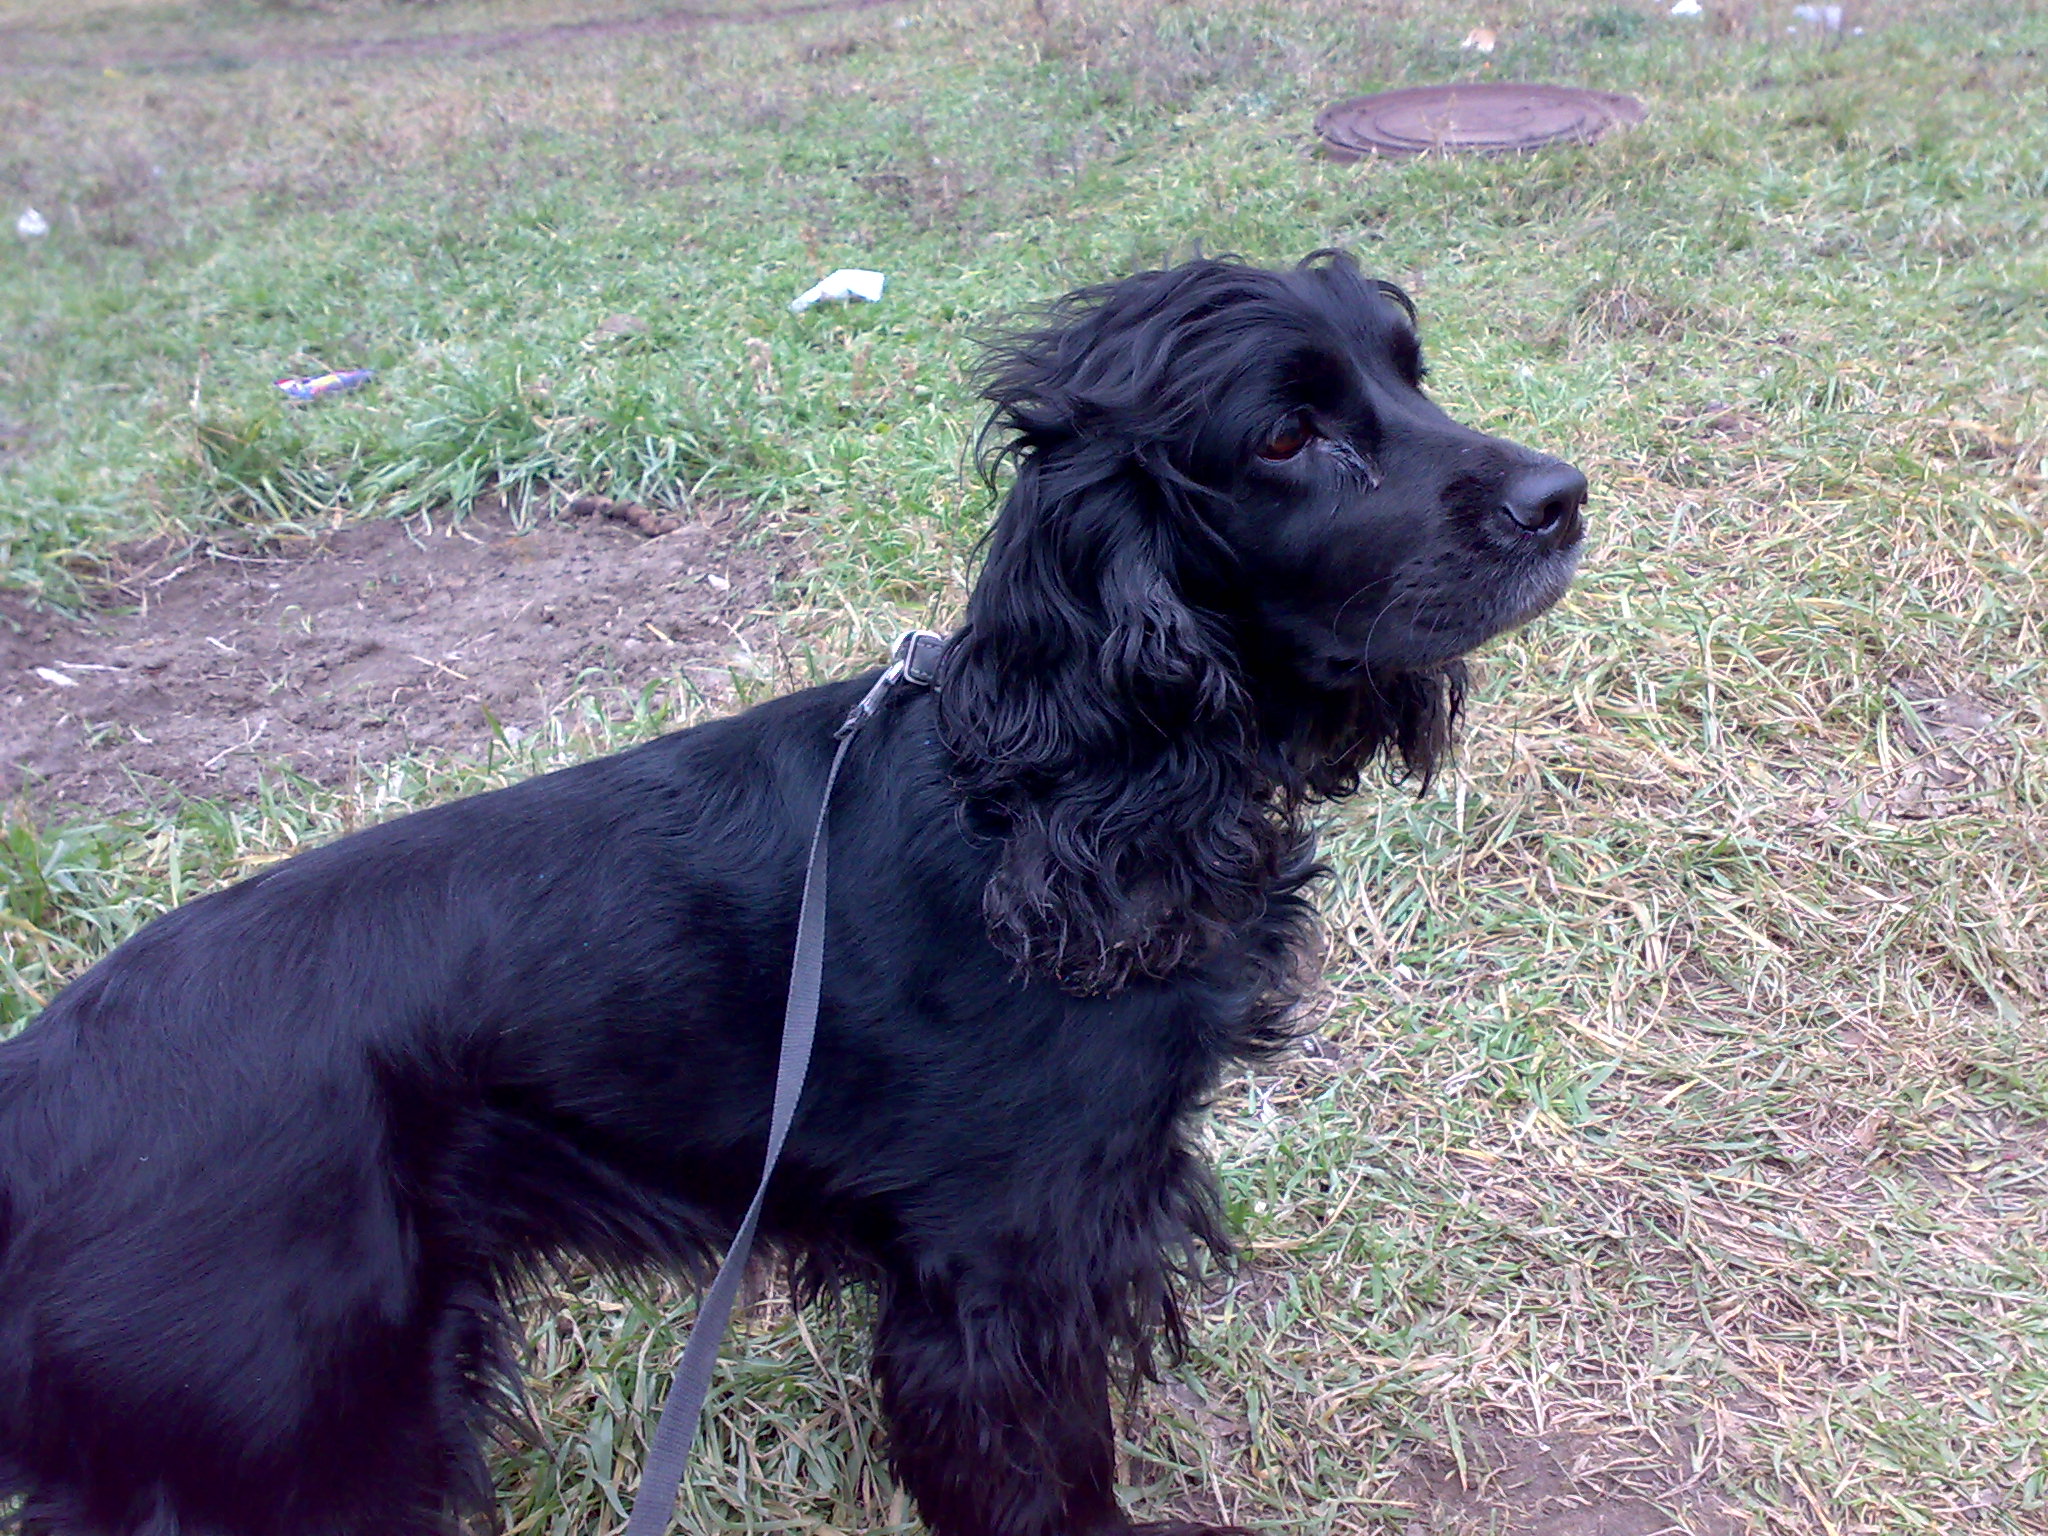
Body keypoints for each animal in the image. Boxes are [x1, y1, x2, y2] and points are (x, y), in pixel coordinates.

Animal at [0, 251, 1585, 1536]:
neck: (1050, 795)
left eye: (1409, 372)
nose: (1562, 500)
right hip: (310, 1433)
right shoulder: (1001, 1276)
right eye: (1284, 435)